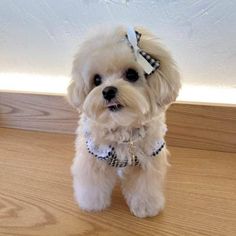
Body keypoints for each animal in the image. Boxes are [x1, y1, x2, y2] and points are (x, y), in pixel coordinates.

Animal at [67, 25, 182, 218]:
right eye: (96, 79)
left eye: (131, 74)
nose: (107, 91)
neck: (122, 127)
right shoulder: (93, 157)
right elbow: (92, 183)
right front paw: (92, 204)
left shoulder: (149, 159)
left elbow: (145, 187)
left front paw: (146, 207)